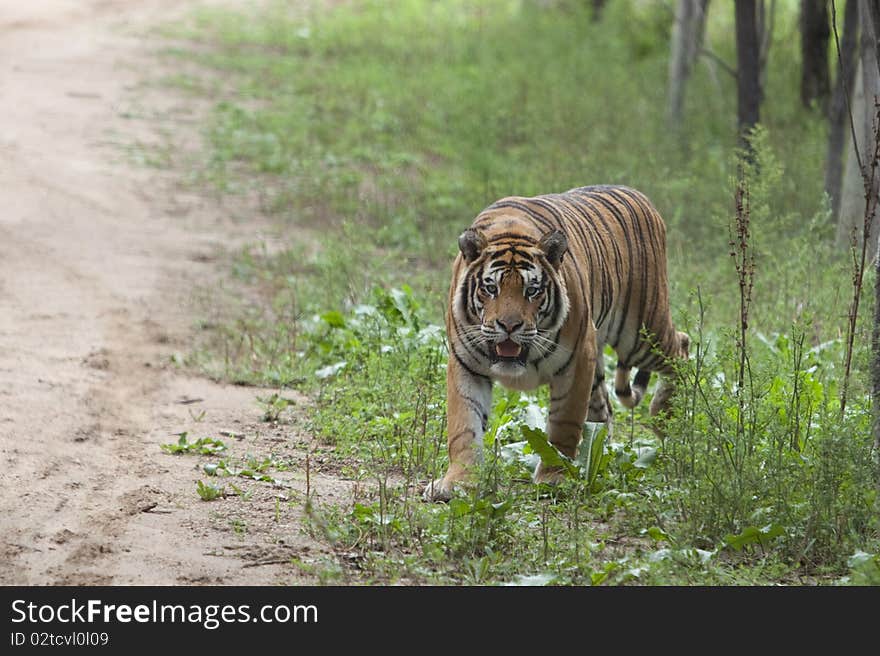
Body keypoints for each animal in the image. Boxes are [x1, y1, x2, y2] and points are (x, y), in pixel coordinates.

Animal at [424, 184, 688, 502]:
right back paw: (599, 455)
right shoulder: (464, 363)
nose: (509, 326)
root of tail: (638, 194)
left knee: (681, 347)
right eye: (491, 288)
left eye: (532, 290)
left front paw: (555, 477)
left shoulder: (576, 361)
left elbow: (564, 424)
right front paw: (459, 482)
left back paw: (667, 418)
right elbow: (463, 426)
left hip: (640, 332)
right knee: (604, 408)